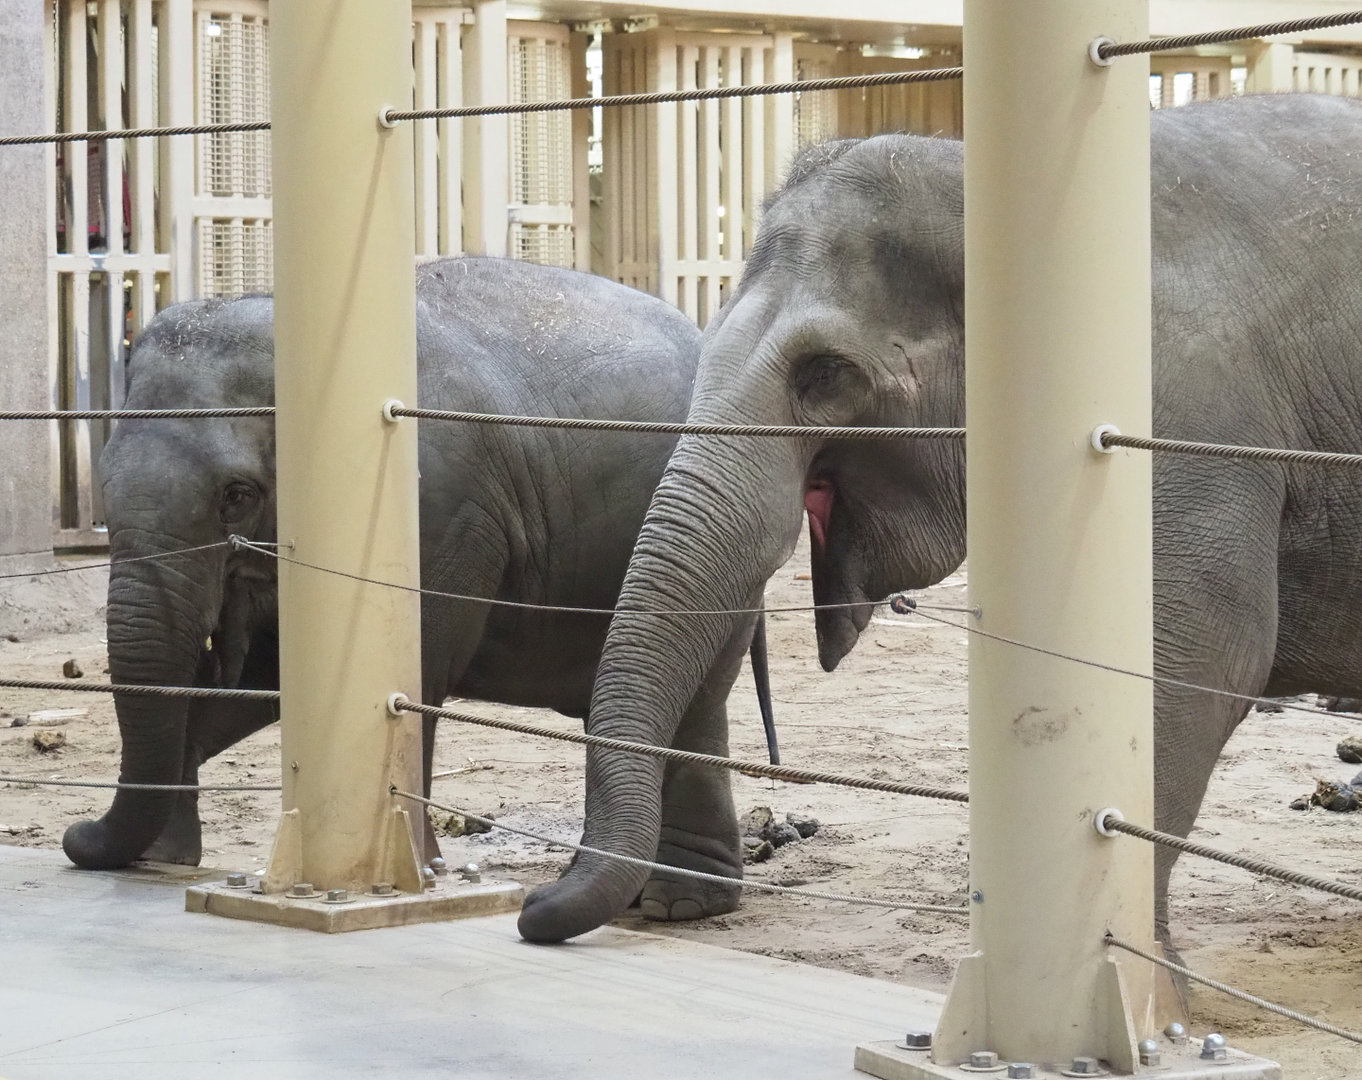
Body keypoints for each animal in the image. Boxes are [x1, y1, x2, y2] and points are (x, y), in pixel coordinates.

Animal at [62, 255, 774, 905]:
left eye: (236, 497)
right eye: (106, 480)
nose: (75, 834)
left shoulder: (440, 511)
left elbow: (413, 667)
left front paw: (421, 873)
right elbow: (272, 678)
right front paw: (164, 856)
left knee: (700, 695)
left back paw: (678, 902)